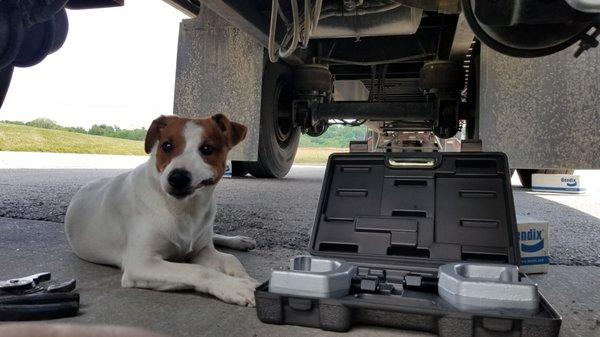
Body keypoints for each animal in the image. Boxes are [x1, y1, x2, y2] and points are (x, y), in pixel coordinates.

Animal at [64, 114, 258, 306]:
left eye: (207, 149)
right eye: (167, 146)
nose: (178, 177)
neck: (181, 209)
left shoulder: (204, 252)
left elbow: (231, 260)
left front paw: (245, 278)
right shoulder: (141, 264)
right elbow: (197, 270)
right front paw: (234, 286)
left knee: (215, 236)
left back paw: (239, 240)